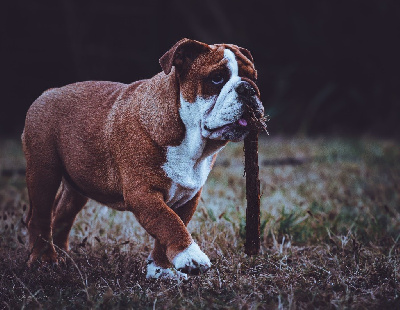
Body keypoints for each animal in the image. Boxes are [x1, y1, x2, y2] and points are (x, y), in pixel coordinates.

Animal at [23, 38, 264, 278]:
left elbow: (170, 227)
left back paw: (63, 257)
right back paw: (45, 260)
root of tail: (48, 92)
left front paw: (160, 269)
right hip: (44, 173)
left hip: (79, 185)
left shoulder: (188, 197)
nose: (248, 89)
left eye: (253, 77)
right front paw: (190, 256)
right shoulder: (143, 193)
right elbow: (168, 222)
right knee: (40, 218)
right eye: (216, 78)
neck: (191, 142)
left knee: (62, 216)